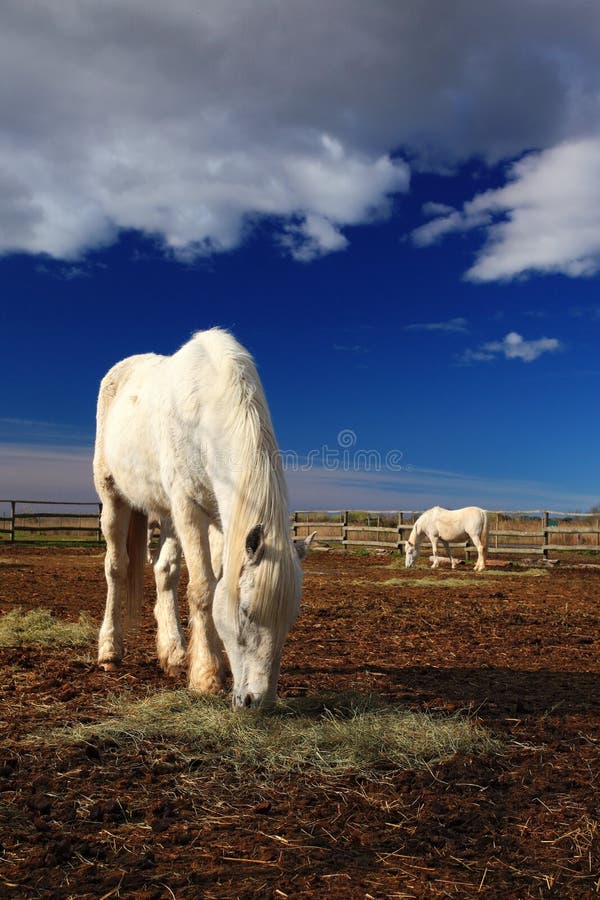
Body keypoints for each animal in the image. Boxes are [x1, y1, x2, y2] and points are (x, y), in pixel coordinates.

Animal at [93, 326, 314, 708]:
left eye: (290, 617)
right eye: (245, 612)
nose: (258, 701)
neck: (206, 410)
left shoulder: (220, 519)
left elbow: (212, 581)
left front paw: (203, 664)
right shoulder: (188, 506)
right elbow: (203, 590)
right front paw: (207, 677)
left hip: (167, 514)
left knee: (164, 571)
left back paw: (174, 653)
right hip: (114, 497)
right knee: (116, 568)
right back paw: (109, 651)